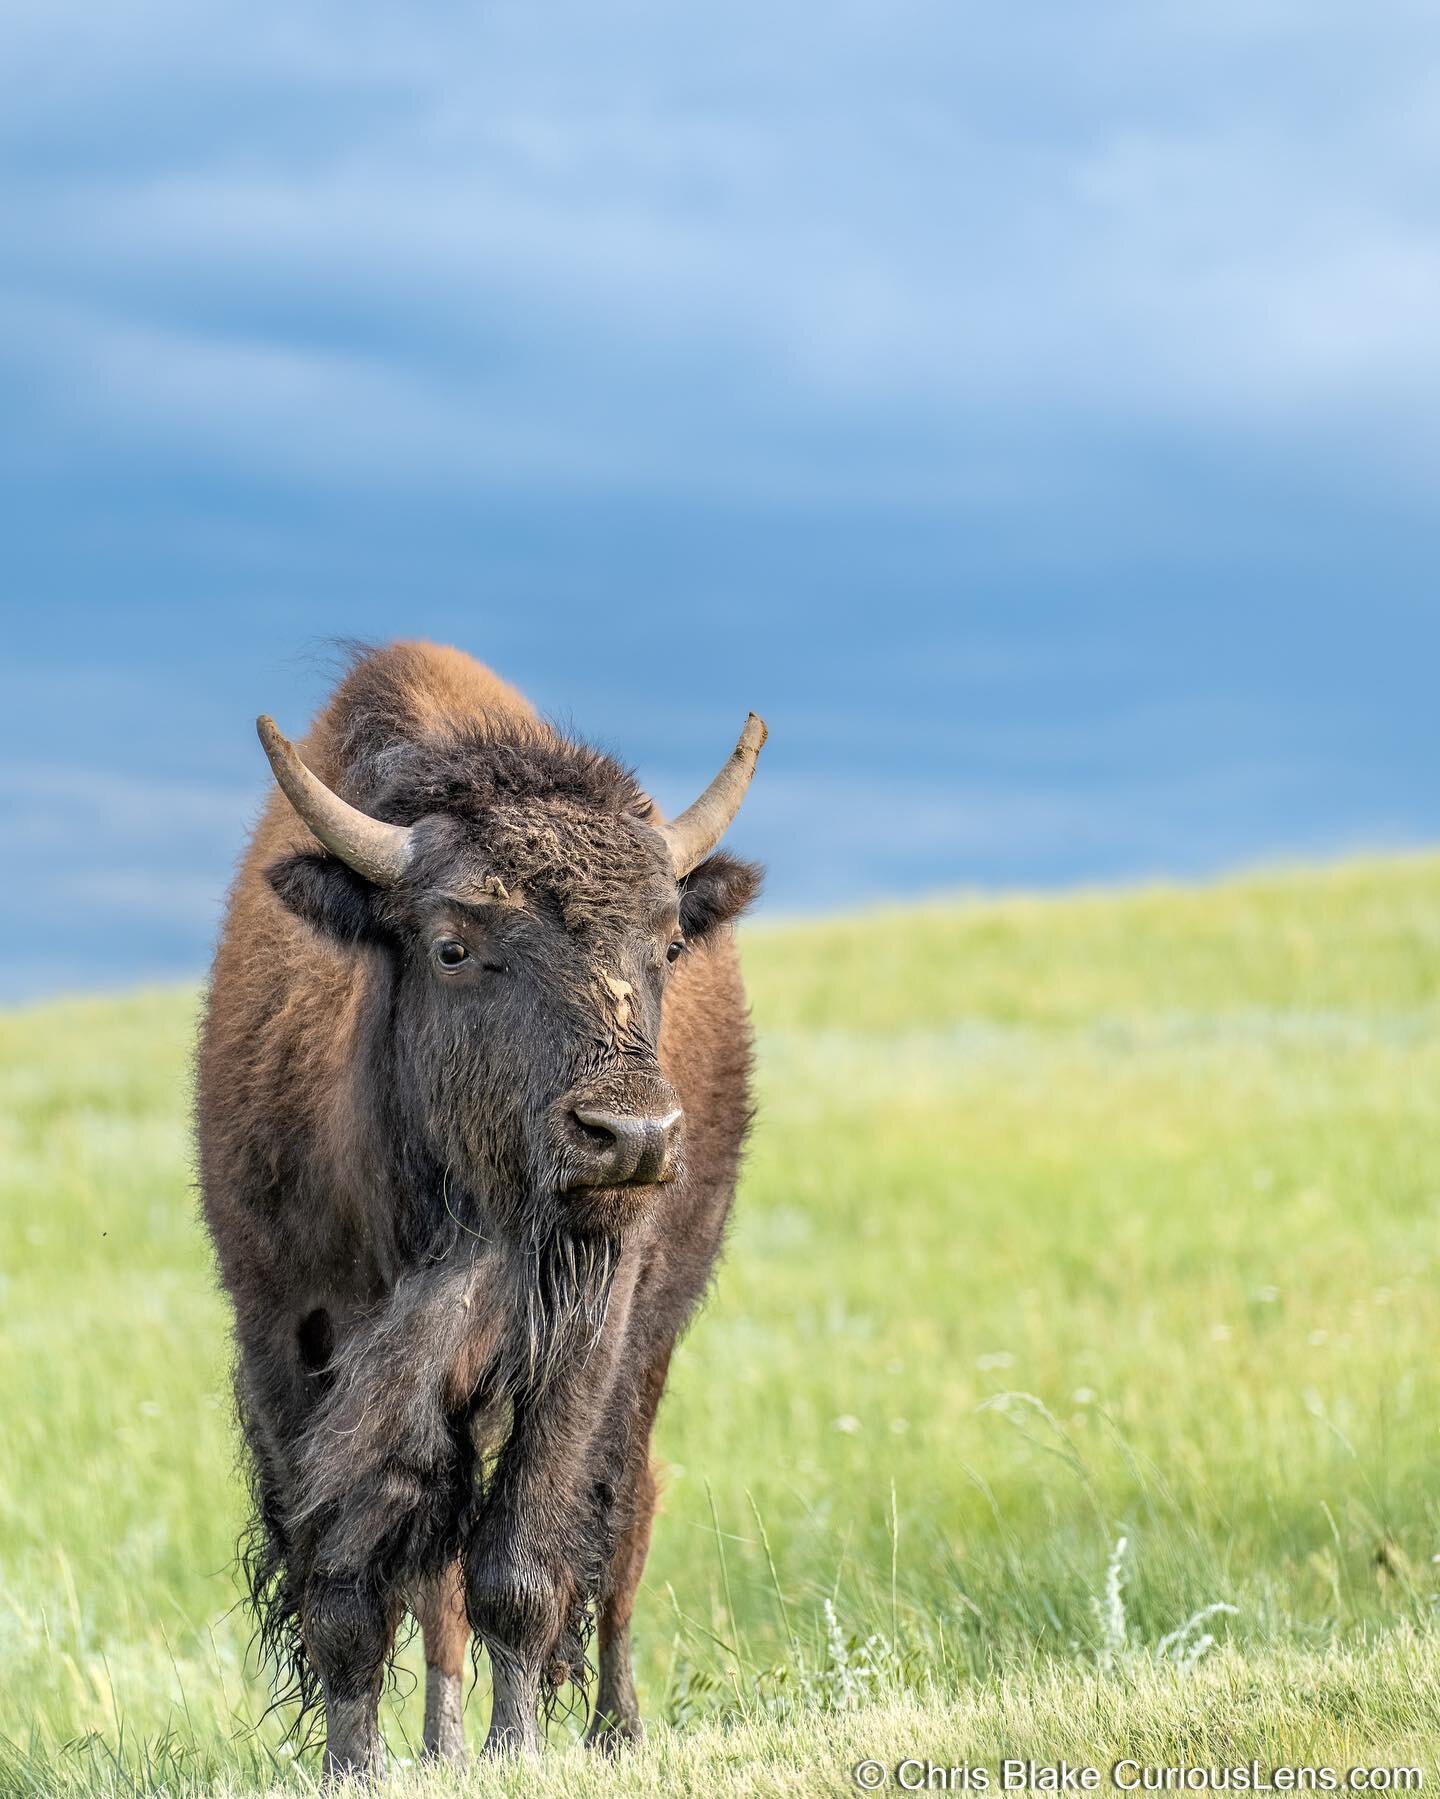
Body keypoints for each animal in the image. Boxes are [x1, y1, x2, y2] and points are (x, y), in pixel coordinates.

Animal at [197, 647, 770, 1770]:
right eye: (453, 945)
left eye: (664, 943)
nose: (632, 1134)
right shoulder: (288, 1339)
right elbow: (349, 1586)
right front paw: (358, 1763)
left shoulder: (585, 1336)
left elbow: (522, 1560)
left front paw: (517, 1745)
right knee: (437, 1581)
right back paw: (441, 1741)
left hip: (651, 1343)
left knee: (622, 1521)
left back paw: (613, 1728)